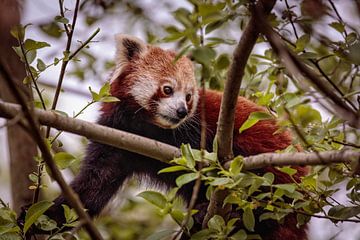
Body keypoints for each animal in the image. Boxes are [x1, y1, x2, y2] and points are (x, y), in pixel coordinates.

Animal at [47, 34, 306, 239]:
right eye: (167, 89)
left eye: (189, 96)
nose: (182, 111)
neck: (151, 129)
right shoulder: (116, 137)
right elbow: (92, 187)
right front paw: (47, 219)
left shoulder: (200, 133)